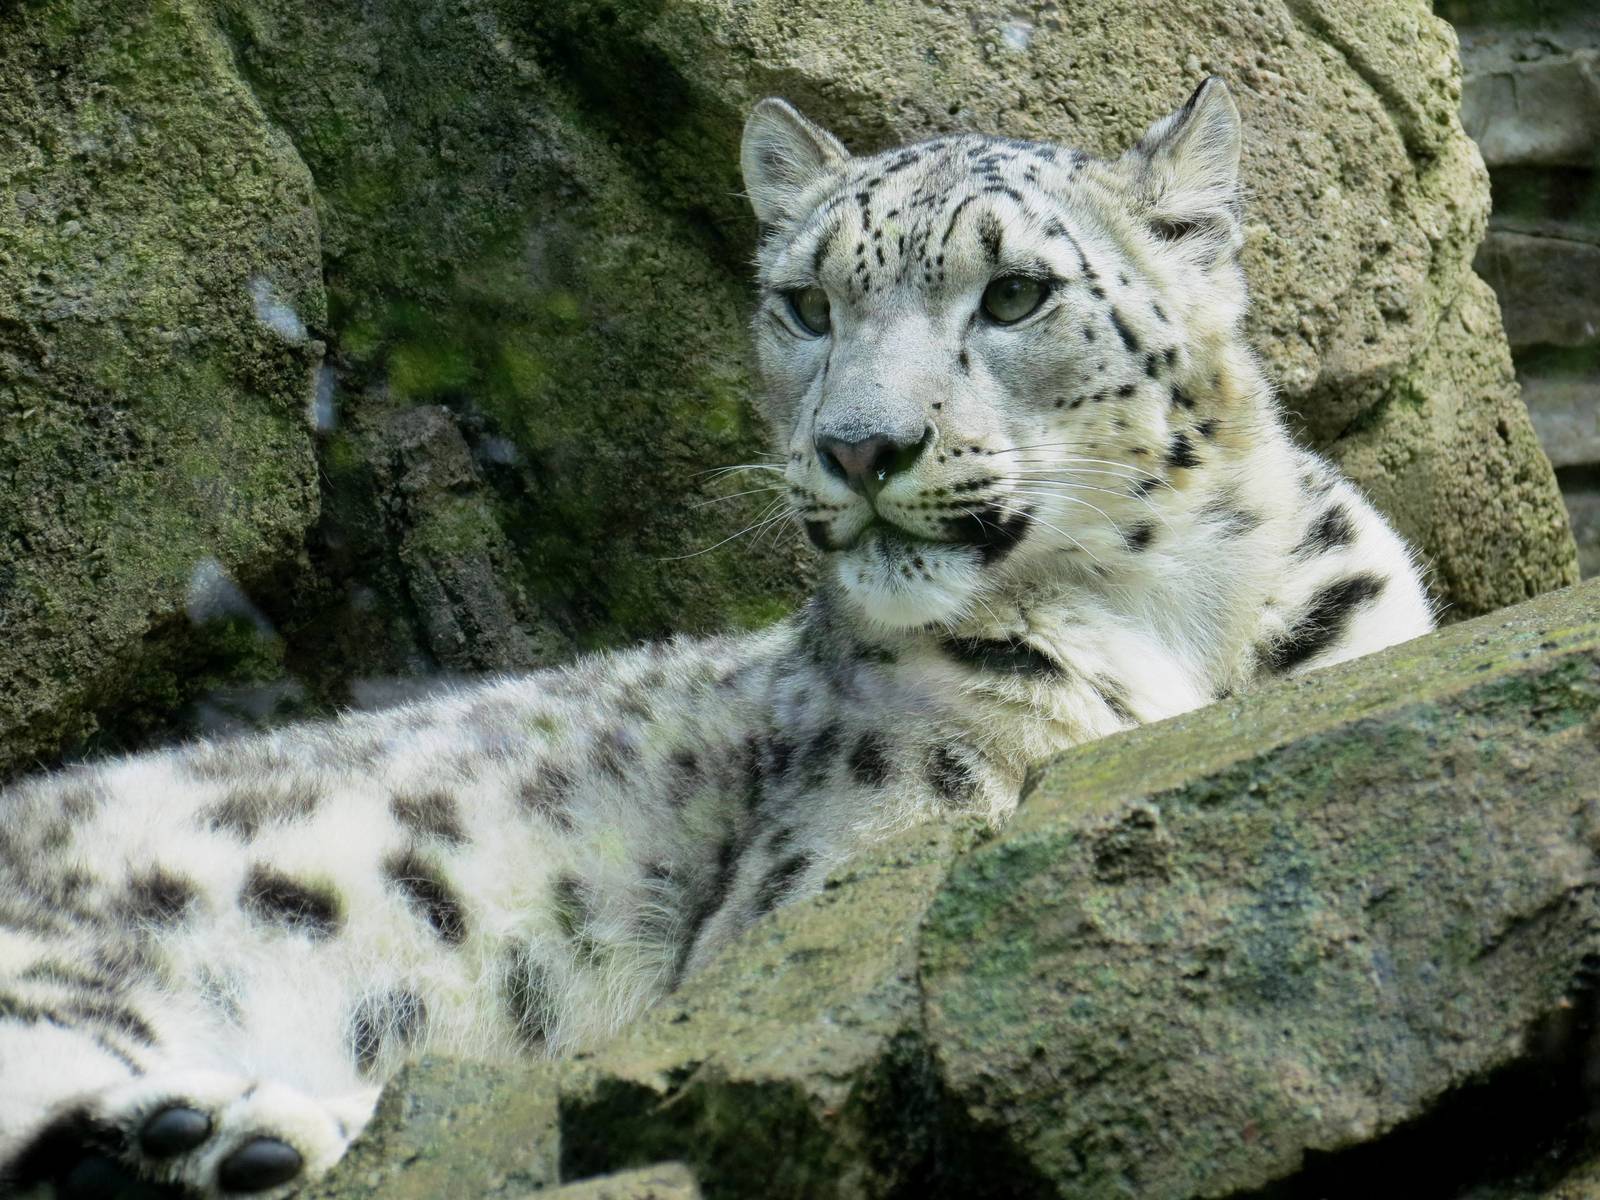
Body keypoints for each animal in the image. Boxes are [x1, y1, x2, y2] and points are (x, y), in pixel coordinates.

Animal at [0, 78, 1434, 1199]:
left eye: (1016, 292)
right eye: (806, 304)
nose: (859, 445)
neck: (1177, 613)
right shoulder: (843, 876)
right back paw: (221, 1137)